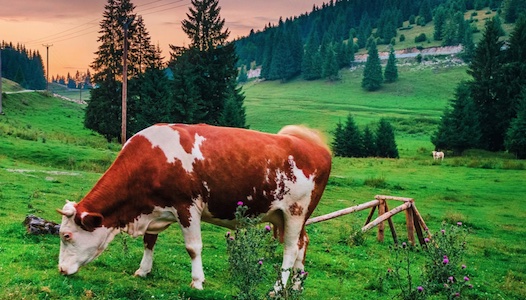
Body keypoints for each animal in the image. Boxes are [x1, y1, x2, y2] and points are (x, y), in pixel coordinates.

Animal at [57, 123, 330, 290]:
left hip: (295, 212)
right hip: (283, 216)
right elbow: (149, 241)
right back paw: (296, 284)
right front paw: (143, 270)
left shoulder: (187, 207)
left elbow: (193, 247)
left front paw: (197, 281)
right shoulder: (154, 209)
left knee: (290, 250)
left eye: (67, 235)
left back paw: (278, 288)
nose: (60, 270)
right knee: (302, 244)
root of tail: (315, 146)